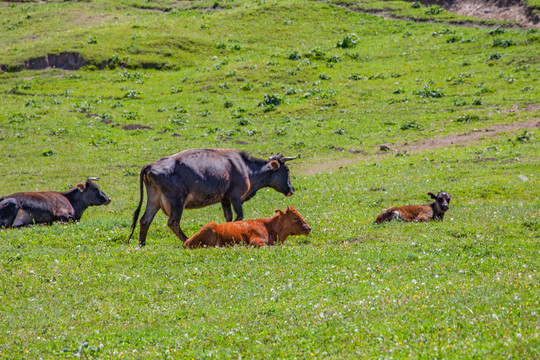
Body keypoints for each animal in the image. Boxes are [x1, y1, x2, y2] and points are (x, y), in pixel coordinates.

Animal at [129, 148, 298, 246]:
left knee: (145, 220)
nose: (292, 189)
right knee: (173, 222)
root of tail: (152, 165)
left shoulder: (225, 200)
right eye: (287, 170)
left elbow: (228, 219)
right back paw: (187, 239)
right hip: (177, 200)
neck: (245, 168)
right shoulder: (235, 197)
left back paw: (142, 243)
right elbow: (239, 217)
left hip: (154, 200)